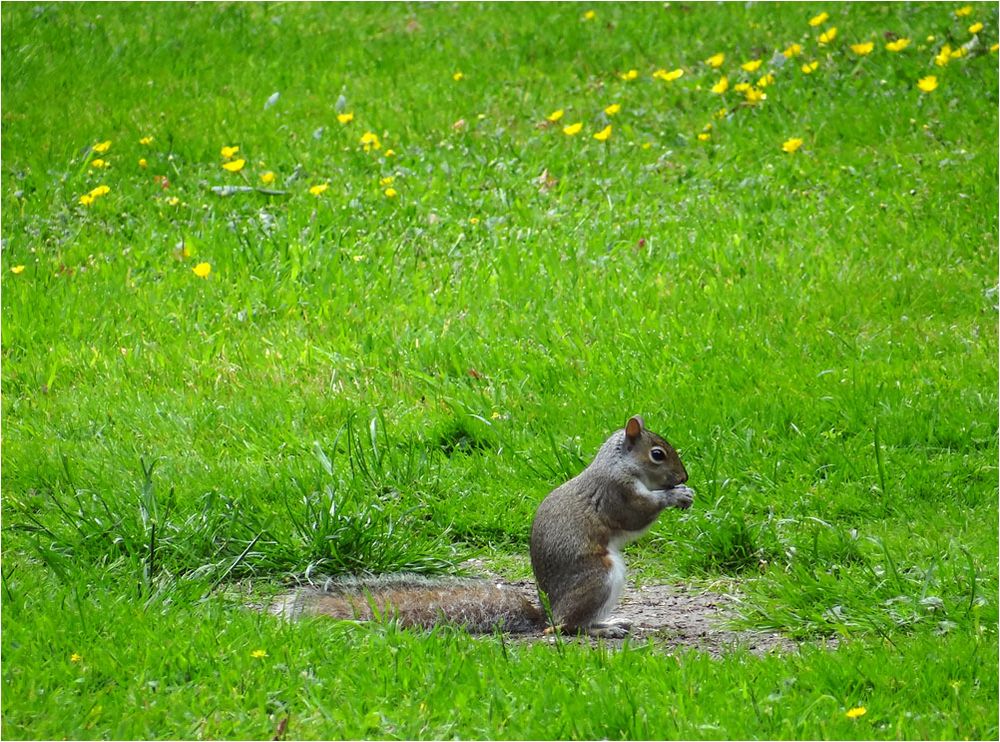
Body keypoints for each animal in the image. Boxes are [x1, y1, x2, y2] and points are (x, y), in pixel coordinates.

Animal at [274, 416, 696, 636]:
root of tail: (548, 612)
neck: (618, 464)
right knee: (566, 628)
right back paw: (601, 628)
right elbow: (636, 515)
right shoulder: (615, 493)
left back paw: (611, 620)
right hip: (599, 577)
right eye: (657, 454)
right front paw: (675, 497)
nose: (683, 476)